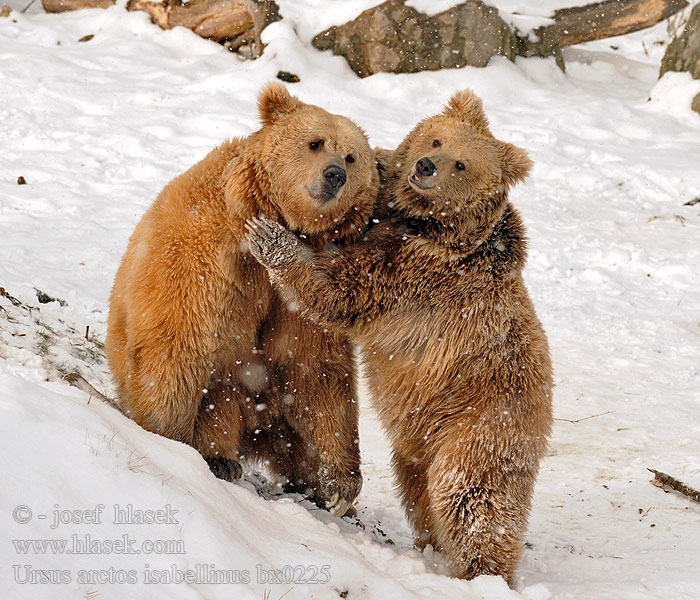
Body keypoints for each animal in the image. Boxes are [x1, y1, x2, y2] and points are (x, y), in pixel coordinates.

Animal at [104, 83, 380, 516]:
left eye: (352, 157)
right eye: (315, 142)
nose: (334, 174)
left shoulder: (295, 296)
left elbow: (316, 370)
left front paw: (340, 485)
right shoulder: (209, 258)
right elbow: (179, 343)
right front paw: (167, 438)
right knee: (219, 392)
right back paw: (220, 458)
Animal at [245, 91, 552, 584]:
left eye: (461, 163)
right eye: (437, 138)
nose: (425, 166)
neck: (428, 225)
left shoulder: (412, 274)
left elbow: (342, 292)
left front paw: (269, 235)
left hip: (481, 423)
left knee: (473, 500)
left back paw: (481, 572)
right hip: (419, 441)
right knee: (420, 493)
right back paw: (432, 547)